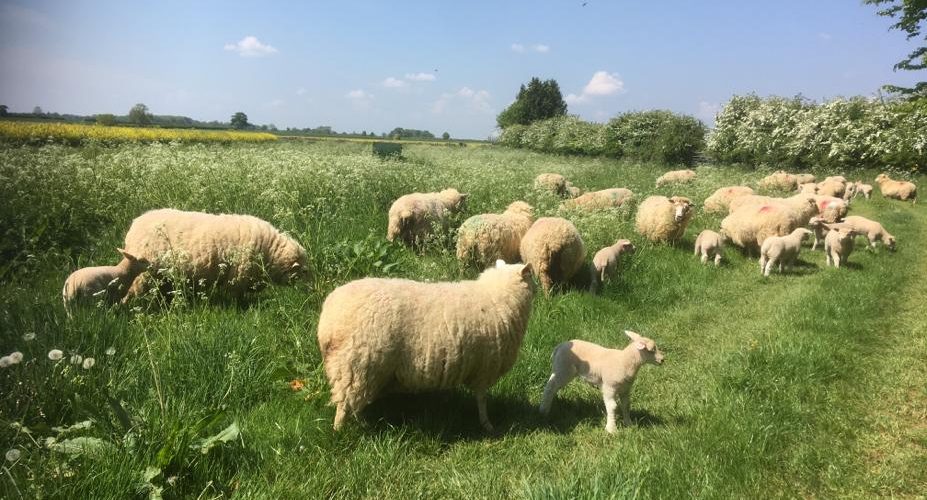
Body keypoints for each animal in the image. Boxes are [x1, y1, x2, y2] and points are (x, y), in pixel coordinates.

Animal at [118, 207, 308, 300]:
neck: (270, 251)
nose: (311, 290)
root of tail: (134, 225)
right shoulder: (238, 276)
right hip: (142, 273)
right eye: (304, 271)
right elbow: (236, 296)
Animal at [320, 260, 536, 432]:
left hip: (361, 368)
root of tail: (327, 323)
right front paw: (487, 425)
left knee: (355, 400)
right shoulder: (484, 367)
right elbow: (482, 399)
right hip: (356, 363)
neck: (497, 296)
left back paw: (360, 423)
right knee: (346, 402)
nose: (539, 287)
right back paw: (340, 430)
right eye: (531, 276)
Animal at [536, 330, 668, 432]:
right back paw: (543, 411)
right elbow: (613, 406)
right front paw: (611, 429)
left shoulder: (625, 389)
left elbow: (626, 405)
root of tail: (559, 347)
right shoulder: (609, 387)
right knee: (550, 388)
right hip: (563, 369)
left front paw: (629, 424)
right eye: (652, 350)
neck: (625, 361)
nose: (662, 360)